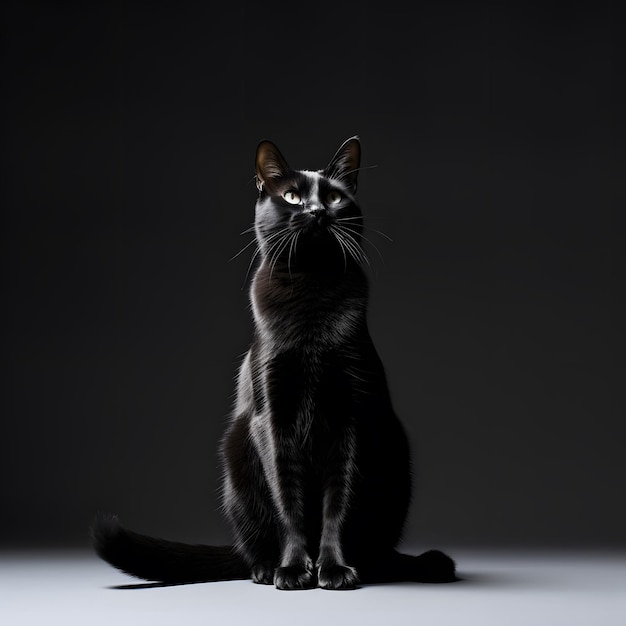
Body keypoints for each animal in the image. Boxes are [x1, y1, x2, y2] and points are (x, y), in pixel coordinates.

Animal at [91, 134, 454, 588]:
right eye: (292, 196)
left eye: (334, 197)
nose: (316, 211)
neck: (311, 293)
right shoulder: (272, 414)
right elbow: (288, 501)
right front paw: (295, 568)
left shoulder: (351, 414)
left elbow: (339, 502)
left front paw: (333, 568)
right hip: (237, 449)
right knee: (252, 545)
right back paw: (265, 568)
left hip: (394, 448)